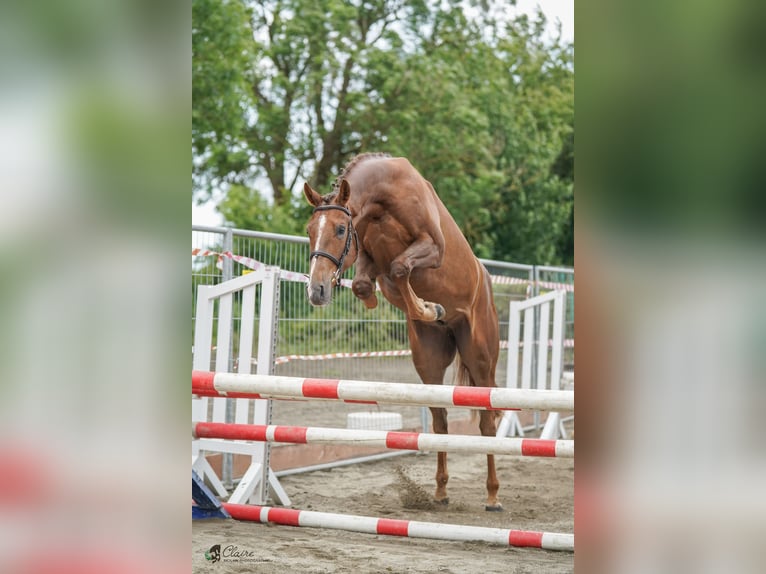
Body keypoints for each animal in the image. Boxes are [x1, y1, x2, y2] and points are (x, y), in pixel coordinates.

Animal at [303, 153, 502, 511]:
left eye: (340, 229)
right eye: (309, 231)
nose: (317, 290)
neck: (384, 197)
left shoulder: (432, 247)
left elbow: (398, 268)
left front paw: (429, 308)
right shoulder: (367, 255)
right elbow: (367, 282)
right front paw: (390, 302)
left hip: (481, 359)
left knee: (487, 421)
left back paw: (493, 495)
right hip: (429, 364)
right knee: (440, 421)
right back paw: (440, 491)